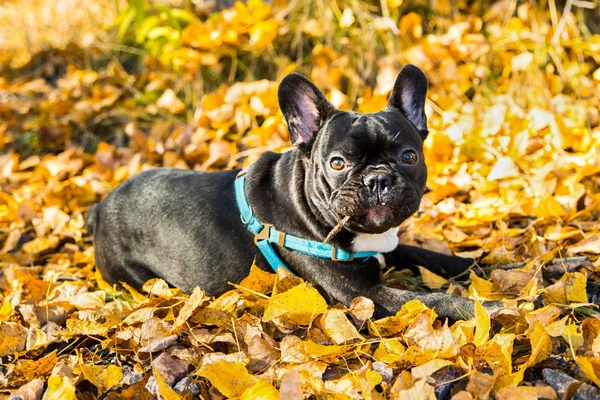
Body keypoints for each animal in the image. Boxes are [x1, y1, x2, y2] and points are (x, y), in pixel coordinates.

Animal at [85, 66, 496, 322]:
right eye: (337, 163)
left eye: (409, 156)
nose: (377, 179)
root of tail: (100, 206)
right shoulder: (363, 294)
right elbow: (431, 299)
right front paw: (484, 308)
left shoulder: (388, 247)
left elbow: (433, 256)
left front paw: (489, 265)